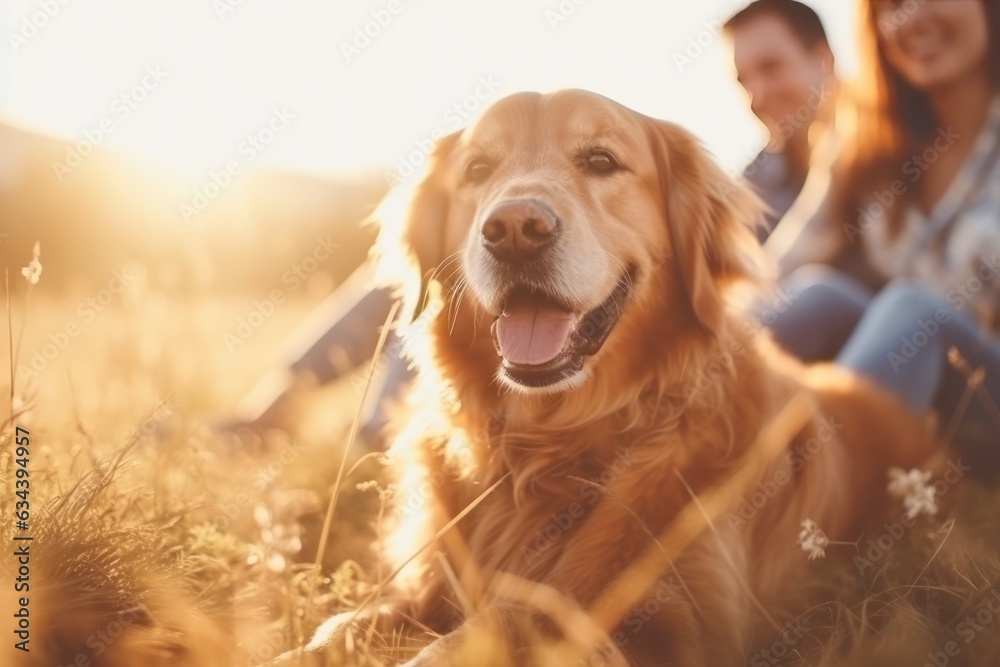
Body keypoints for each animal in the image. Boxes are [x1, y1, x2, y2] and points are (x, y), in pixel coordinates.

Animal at [286, 90, 940, 667]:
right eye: (477, 169)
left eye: (601, 161)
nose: (514, 228)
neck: (548, 450)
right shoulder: (428, 578)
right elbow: (352, 623)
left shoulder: (683, 629)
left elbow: (512, 619)